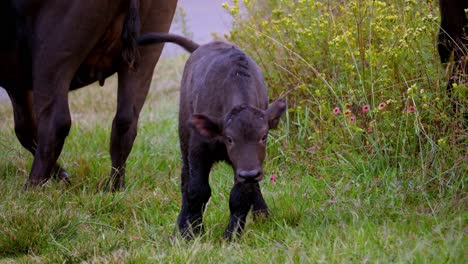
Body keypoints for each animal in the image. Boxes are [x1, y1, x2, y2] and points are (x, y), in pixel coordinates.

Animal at [0, 0, 178, 190]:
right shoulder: (15, 79)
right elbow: (24, 128)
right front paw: (61, 175)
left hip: (53, 50)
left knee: (54, 123)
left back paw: (31, 189)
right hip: (148, 44)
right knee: (125, 122)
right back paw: (114, 188)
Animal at [139, 32, 286, 238]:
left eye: (263, 136)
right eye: (230, 138)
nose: (249, 173)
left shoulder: (246, 166)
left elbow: (240, 196)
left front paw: (231, 234)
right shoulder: (198, 150)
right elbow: (197, 190)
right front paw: (192, 231)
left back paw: (262, 215)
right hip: (184, 140)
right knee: (185, 179)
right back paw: (182, 223)